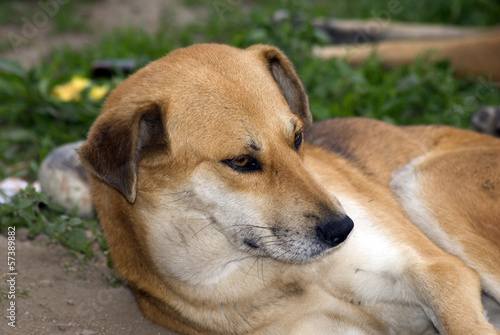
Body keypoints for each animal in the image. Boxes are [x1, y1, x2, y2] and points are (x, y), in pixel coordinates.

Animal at [79, 44, 500, 335]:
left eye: (297, 138)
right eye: (241, 162)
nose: (343, 229)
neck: (276, 273)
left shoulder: (439, 272)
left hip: (423, 182)